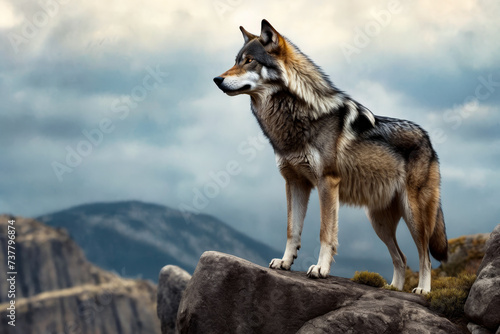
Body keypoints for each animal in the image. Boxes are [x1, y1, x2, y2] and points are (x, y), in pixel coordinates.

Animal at [213, 19, 448, 294]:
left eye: (249, 61)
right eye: (237, 61)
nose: (217, 79)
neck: (294, 118)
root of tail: (428, 139)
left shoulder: (327, 182)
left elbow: (326, 233)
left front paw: (320, 269)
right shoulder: (295, 183)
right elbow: (292, 230)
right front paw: (285, 262)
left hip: (414, 215)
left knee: (425, 256)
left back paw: (422, 290)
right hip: (379, 223)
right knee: (401, 257)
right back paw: (392, 289)